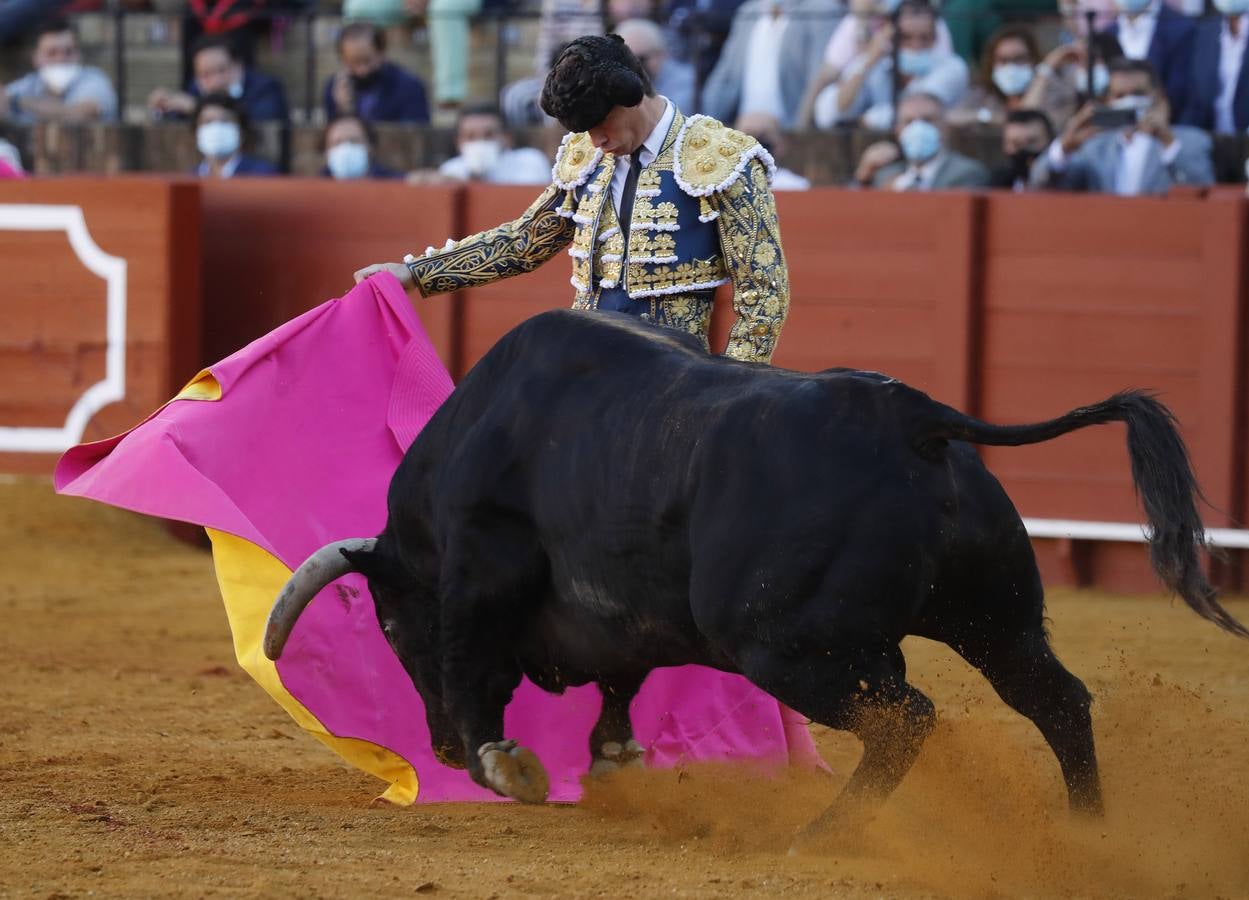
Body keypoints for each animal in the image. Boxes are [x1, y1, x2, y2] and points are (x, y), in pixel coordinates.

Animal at [258, 310, 1244, 833]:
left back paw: (823, 834)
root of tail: (911, 418)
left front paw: (506, 765)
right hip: (991, 618)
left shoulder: (477, 570)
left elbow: (473, 665)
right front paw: (612, 758)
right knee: (1054, 699)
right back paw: (1087, 827)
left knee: (909, 719)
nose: (438, 753)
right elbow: (620, 684)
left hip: (788, 647)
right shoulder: (622, 621)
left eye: (392, 627)